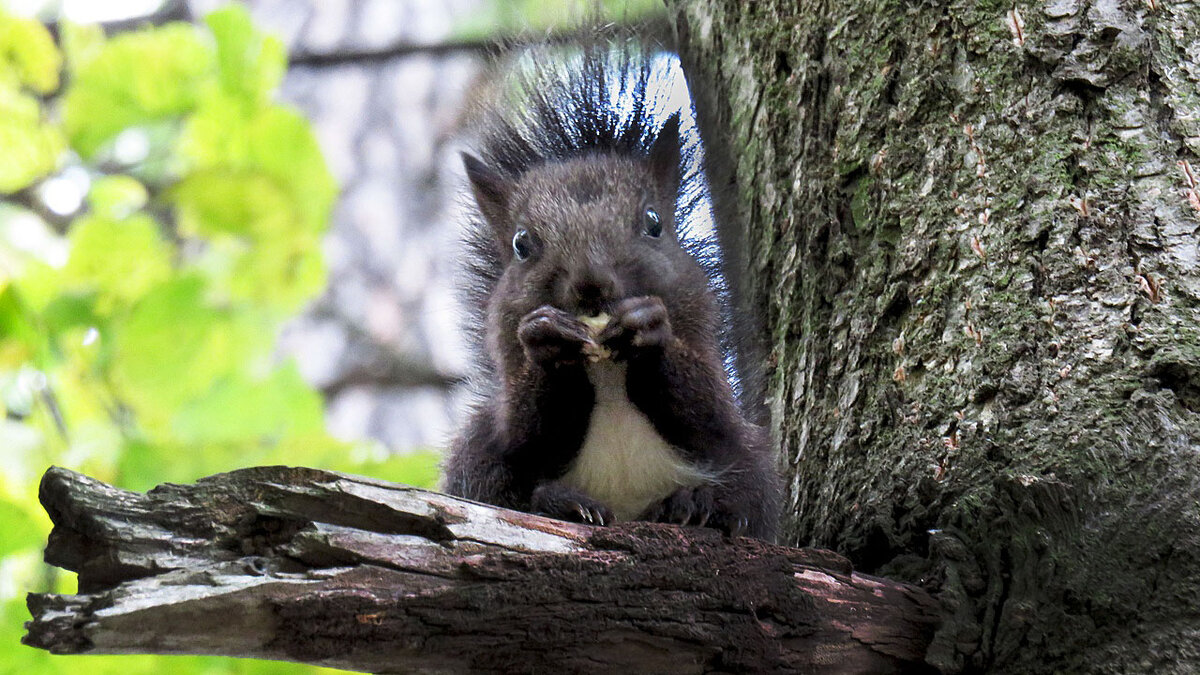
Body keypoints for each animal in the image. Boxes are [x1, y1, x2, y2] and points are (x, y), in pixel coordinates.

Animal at [441, 42, 777, 538]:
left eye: (654, 223)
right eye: (521, 245)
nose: (591, 284)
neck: (609, 374)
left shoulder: (719, 402)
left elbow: (708, 415)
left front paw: (649, 329)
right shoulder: (507, 419)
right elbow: (523, 434)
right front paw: (546, 339)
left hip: (755, 466)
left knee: (748, 497)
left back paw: (692, 505)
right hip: (475, 455)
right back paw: (563, 503)